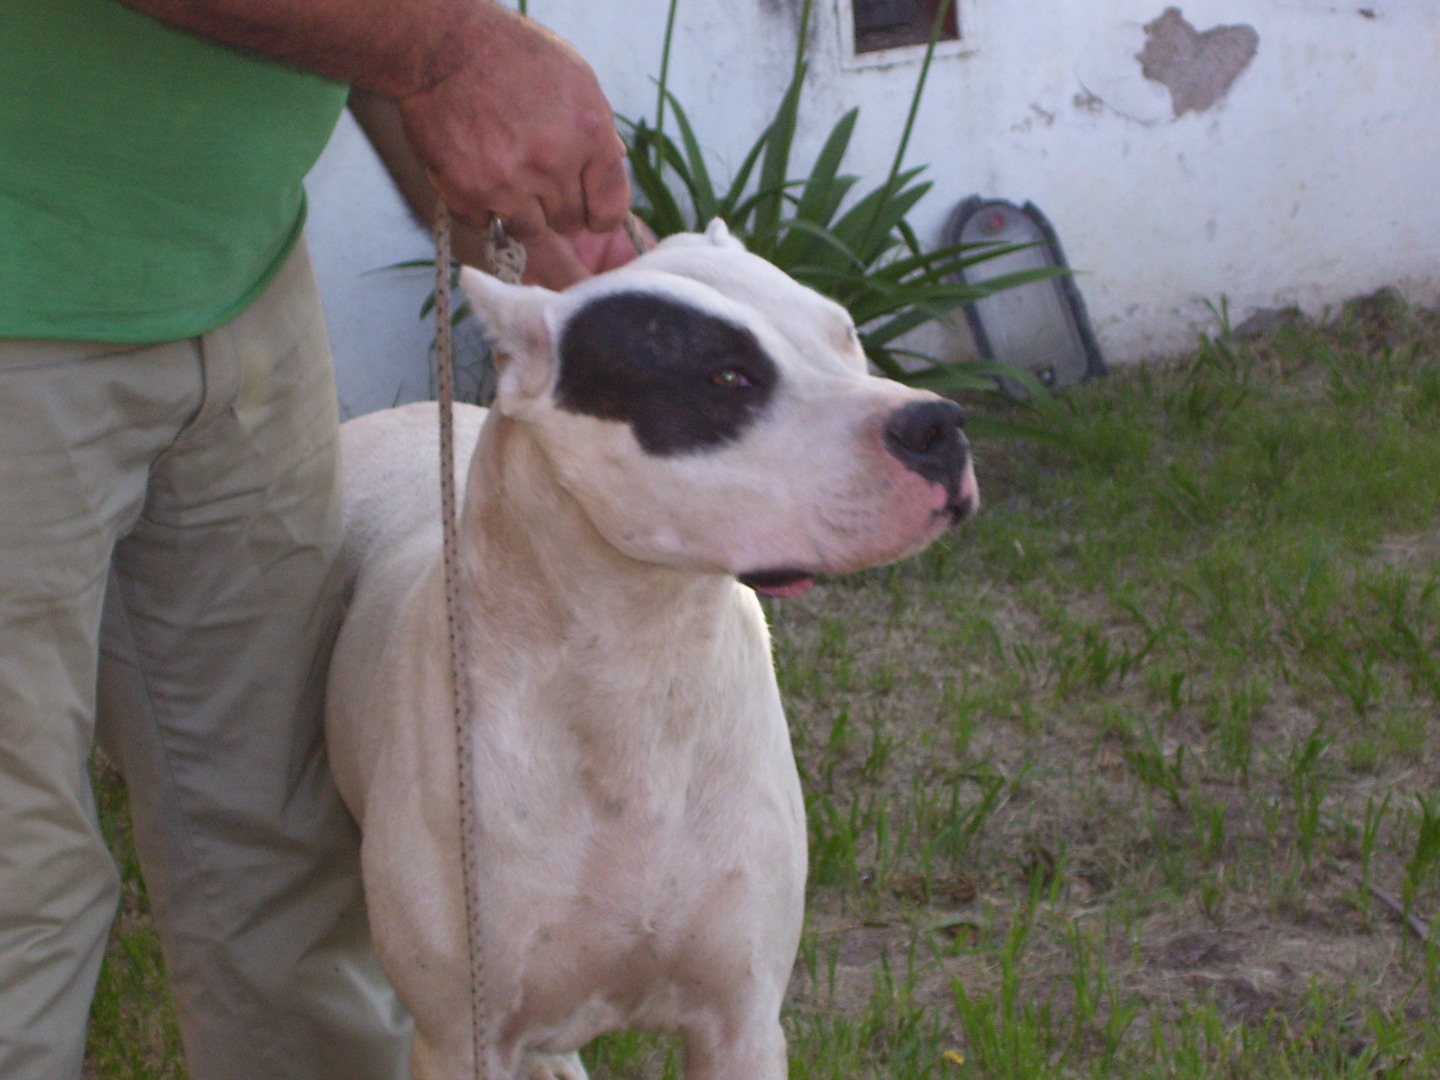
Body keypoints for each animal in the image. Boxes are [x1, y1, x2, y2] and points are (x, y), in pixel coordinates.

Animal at [325, 220, 978, 1080]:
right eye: (727, 376)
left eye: (846, 336)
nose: (939, 425)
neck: (641, 660)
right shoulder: (461, 1038)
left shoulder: (741, 1023)